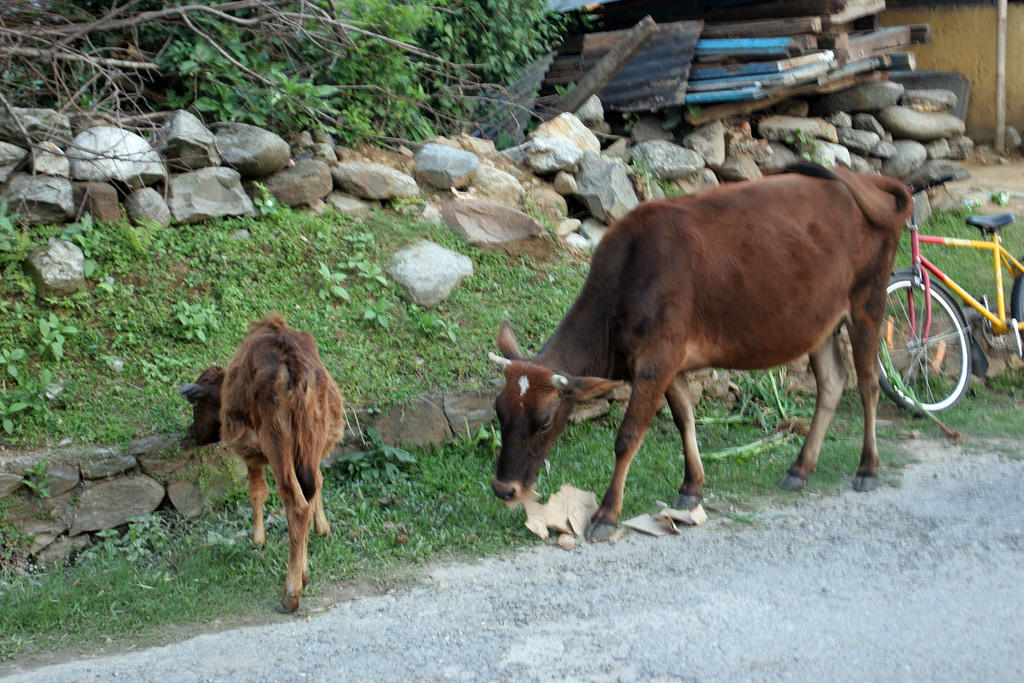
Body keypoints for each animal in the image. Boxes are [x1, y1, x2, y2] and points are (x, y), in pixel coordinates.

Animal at [180, 313, 344, 610]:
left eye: (197, 405)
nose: (191, 434)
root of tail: (294, 364)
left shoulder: (252, 454)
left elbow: (256, 493)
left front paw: (258, 540)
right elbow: (317, 485)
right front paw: (320, 536)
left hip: (277, 449)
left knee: (296, 506)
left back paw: (289, 596)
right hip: (310, 443)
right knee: (310, 490)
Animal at [487, 162, 913, 540]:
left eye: (545, 421)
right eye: (499, 411)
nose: (504, 489)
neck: (626, 278)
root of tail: (870, 179)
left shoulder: (655, 362)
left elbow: (628, 437)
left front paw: (607, 514)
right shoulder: (671, 363)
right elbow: (685, 420)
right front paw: (691, 488)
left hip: (868, 300)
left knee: (868, 383)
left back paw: (867, 468)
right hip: (820, 321)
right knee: (832, 381)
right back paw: (799, 469)